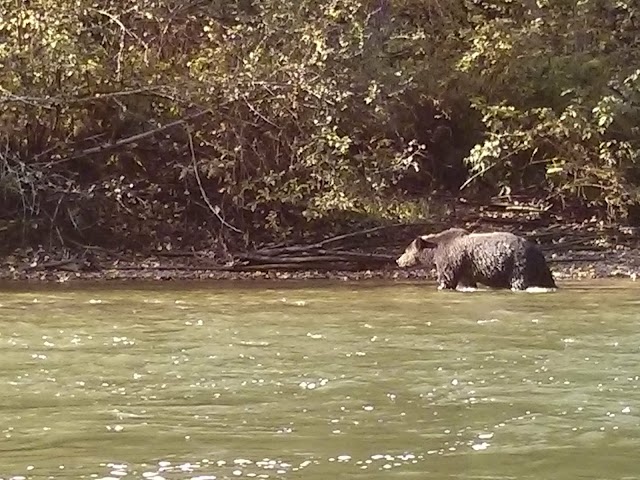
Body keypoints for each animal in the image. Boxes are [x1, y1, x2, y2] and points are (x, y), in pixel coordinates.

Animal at [398, 228, 556, 290]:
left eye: (406, 251)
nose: (398, 261)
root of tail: (538, 252)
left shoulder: (450, 260)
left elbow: (447, 278)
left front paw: (441, 286)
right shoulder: (464, 268)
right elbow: (467, 282)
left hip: (518, 265)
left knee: (519, 281)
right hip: (539, 268)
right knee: (547, 279)